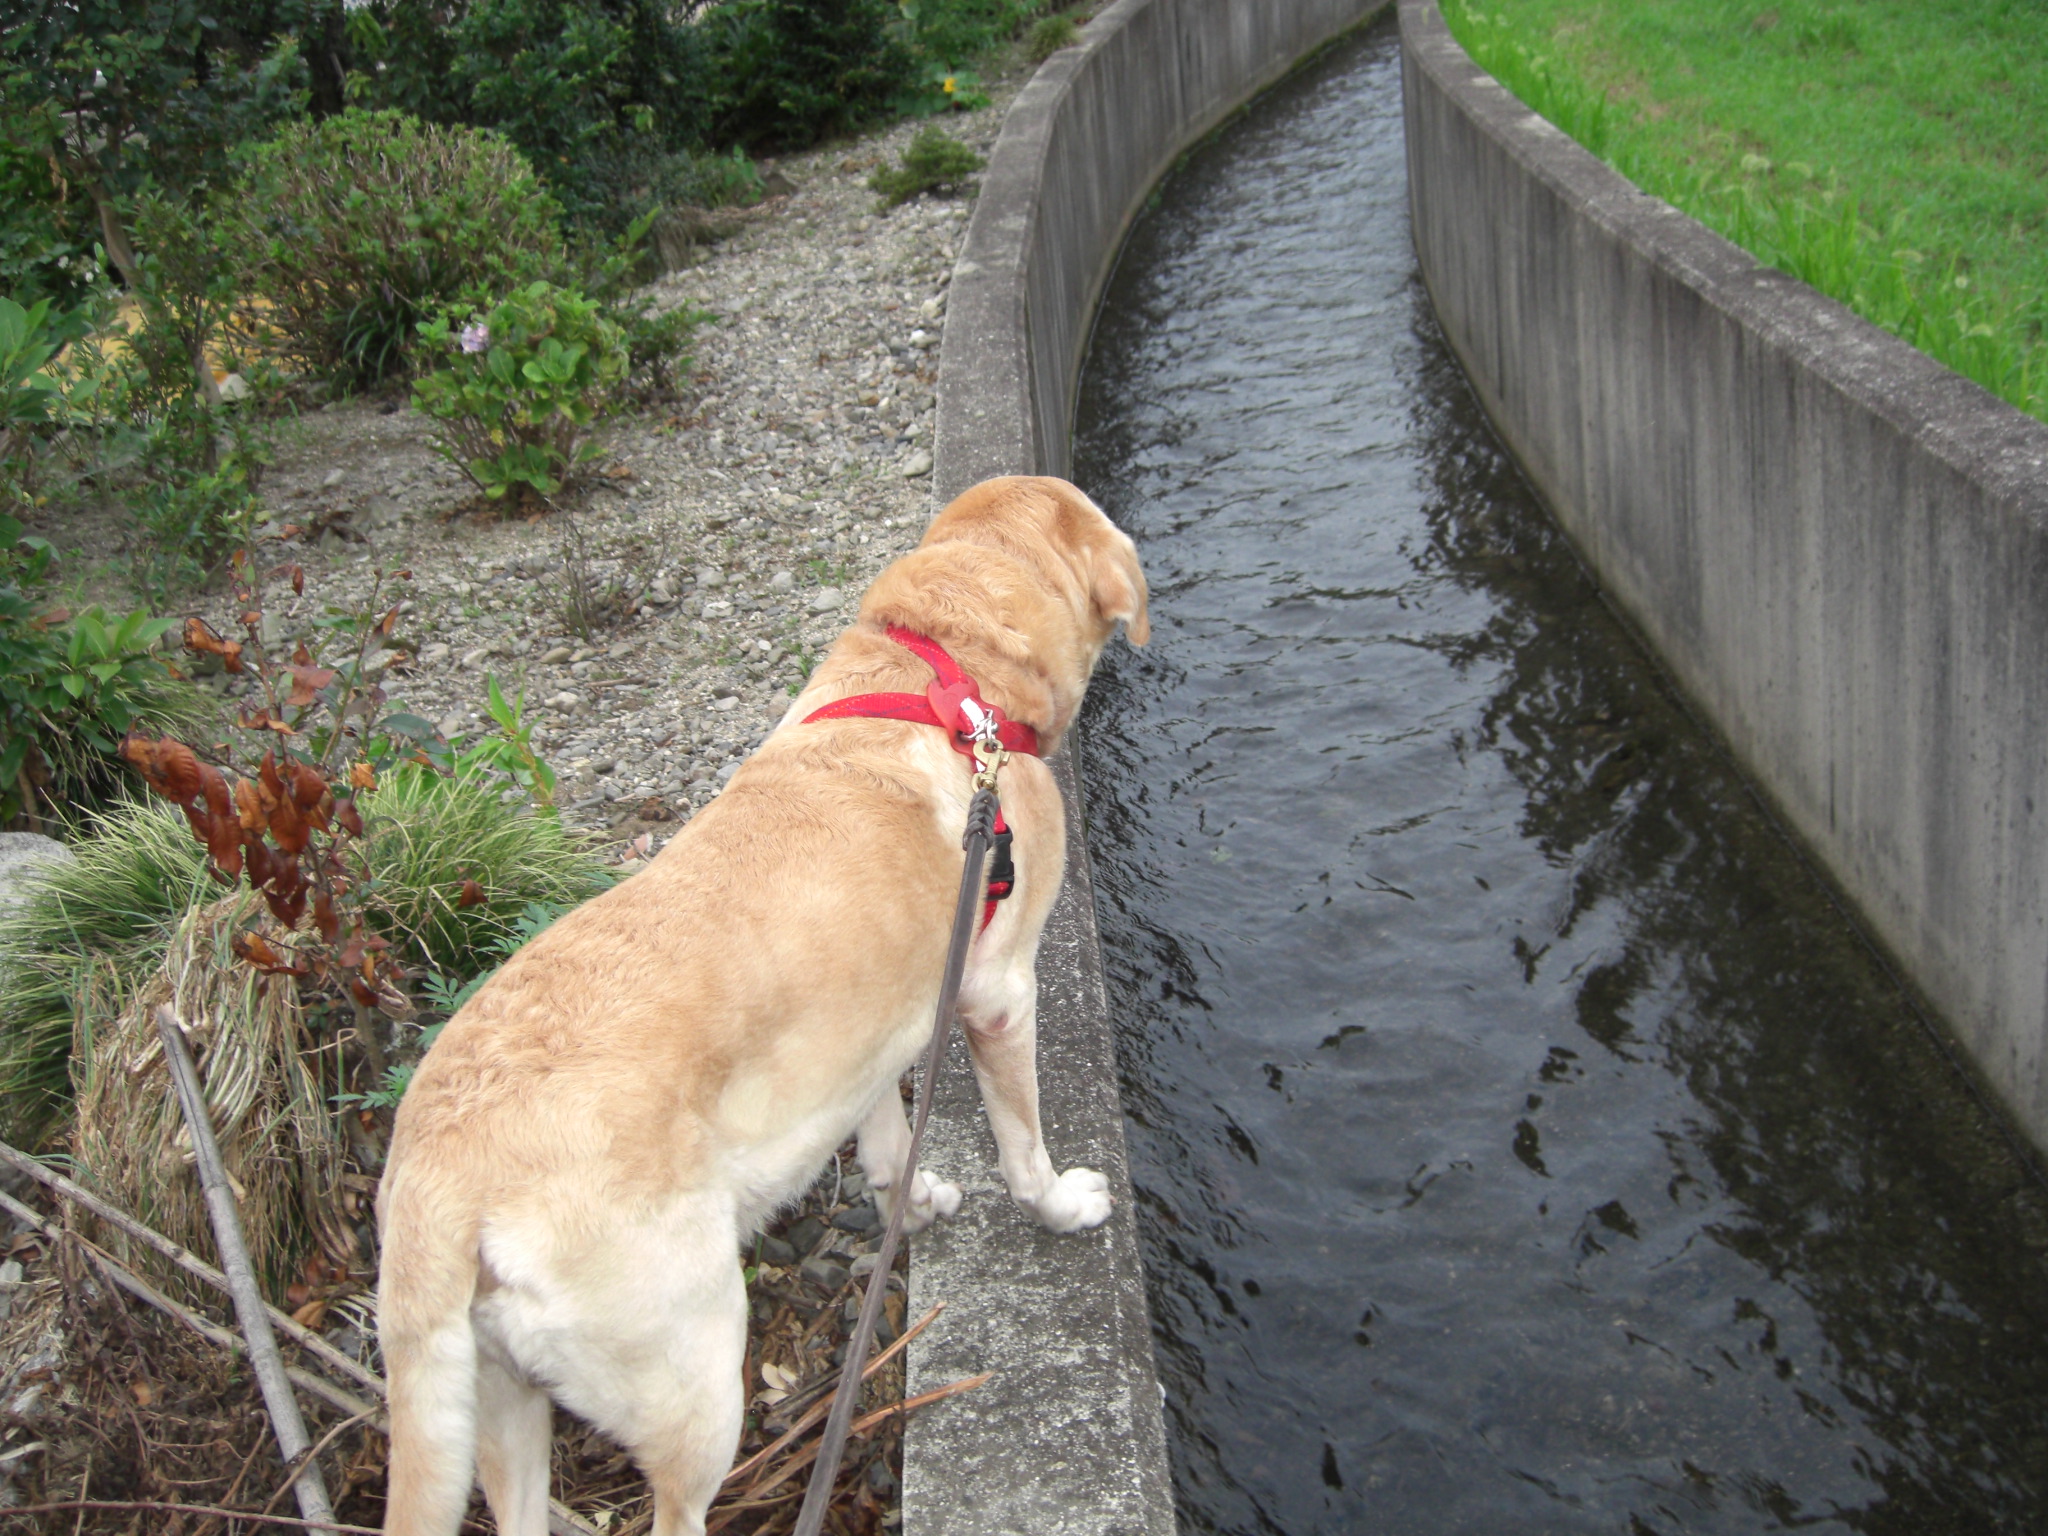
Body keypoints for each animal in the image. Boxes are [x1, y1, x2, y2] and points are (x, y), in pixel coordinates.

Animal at [380, 479, 1155, 1536]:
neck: (948, 668)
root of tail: (438, 1180)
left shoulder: (871, 1037)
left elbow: (883, 1142)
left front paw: (912, 1202)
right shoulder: (997, 993)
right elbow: (1022, 1148)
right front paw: (1061, 1207)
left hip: (502, 1410)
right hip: (696, 1377)